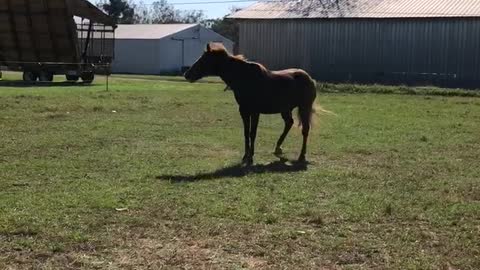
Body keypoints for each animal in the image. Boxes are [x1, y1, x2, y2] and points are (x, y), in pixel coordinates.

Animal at [186, 43, 316, 165]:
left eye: (203, 59)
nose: (187, 74)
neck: (245, 78)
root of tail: (309, 78)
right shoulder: (244, 111)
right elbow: (246, 133)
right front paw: (245, 156)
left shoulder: (254, 112)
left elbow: (252, 133)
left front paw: (251, 157)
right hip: (285, 109)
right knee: (289, 123)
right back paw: (278, 148)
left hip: (304, 107)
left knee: (305, 129)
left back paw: (302, 156)